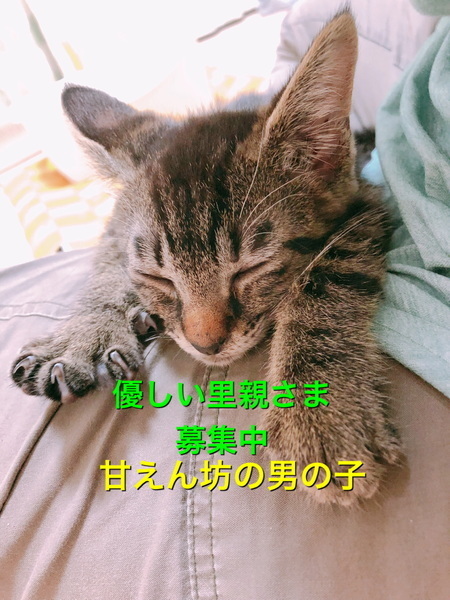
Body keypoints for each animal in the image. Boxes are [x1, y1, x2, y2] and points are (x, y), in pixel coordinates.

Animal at [11, 10, 401, 505]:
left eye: (252, 268)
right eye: (158, 277)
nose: (205, 345)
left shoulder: (369, 202)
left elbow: (328, 274)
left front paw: (320, 410)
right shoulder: (119, 225)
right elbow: (111, 258)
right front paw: (83, 334)